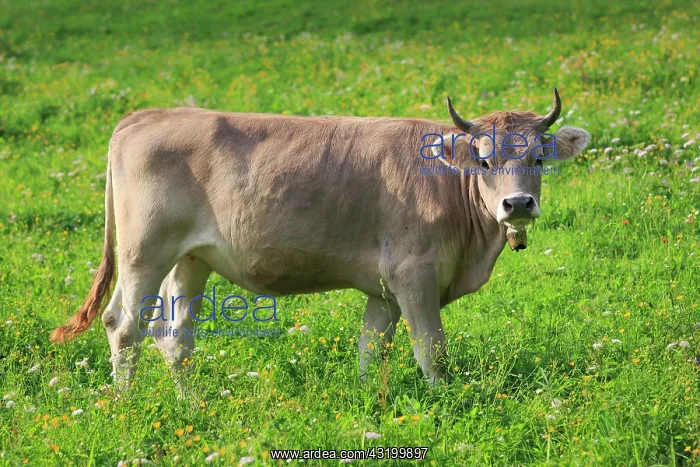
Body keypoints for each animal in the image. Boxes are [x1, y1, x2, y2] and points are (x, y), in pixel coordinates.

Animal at [50, 89, 590, 389]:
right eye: (483, 159)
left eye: (539, 156)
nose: (517, 205)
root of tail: (144, 116)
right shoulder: (414, 274)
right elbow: (430, 349)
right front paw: (444, 401)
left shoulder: (384, 287)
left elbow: (371, 348)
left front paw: (370, 401)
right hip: (144, 251)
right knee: (124, 326)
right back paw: (126, 406)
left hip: (191, 259)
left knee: (174, 337)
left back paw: (193, 406)